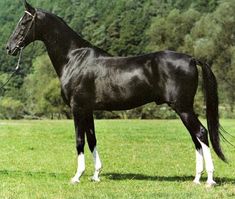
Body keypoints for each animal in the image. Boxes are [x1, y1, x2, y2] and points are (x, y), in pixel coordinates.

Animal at [6, 0, 225, 186]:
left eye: (24, 22)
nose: (9, 47)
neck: (74, 58)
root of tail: (191, 58)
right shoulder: (88, 110)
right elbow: (92, 139)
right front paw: (95, 175)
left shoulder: (77, 108)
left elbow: (79, 141)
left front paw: (77, 176)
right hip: (183, 109)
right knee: (196, 139)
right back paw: (197, 179)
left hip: (183, 108)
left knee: (201, 133)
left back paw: (209, 180)